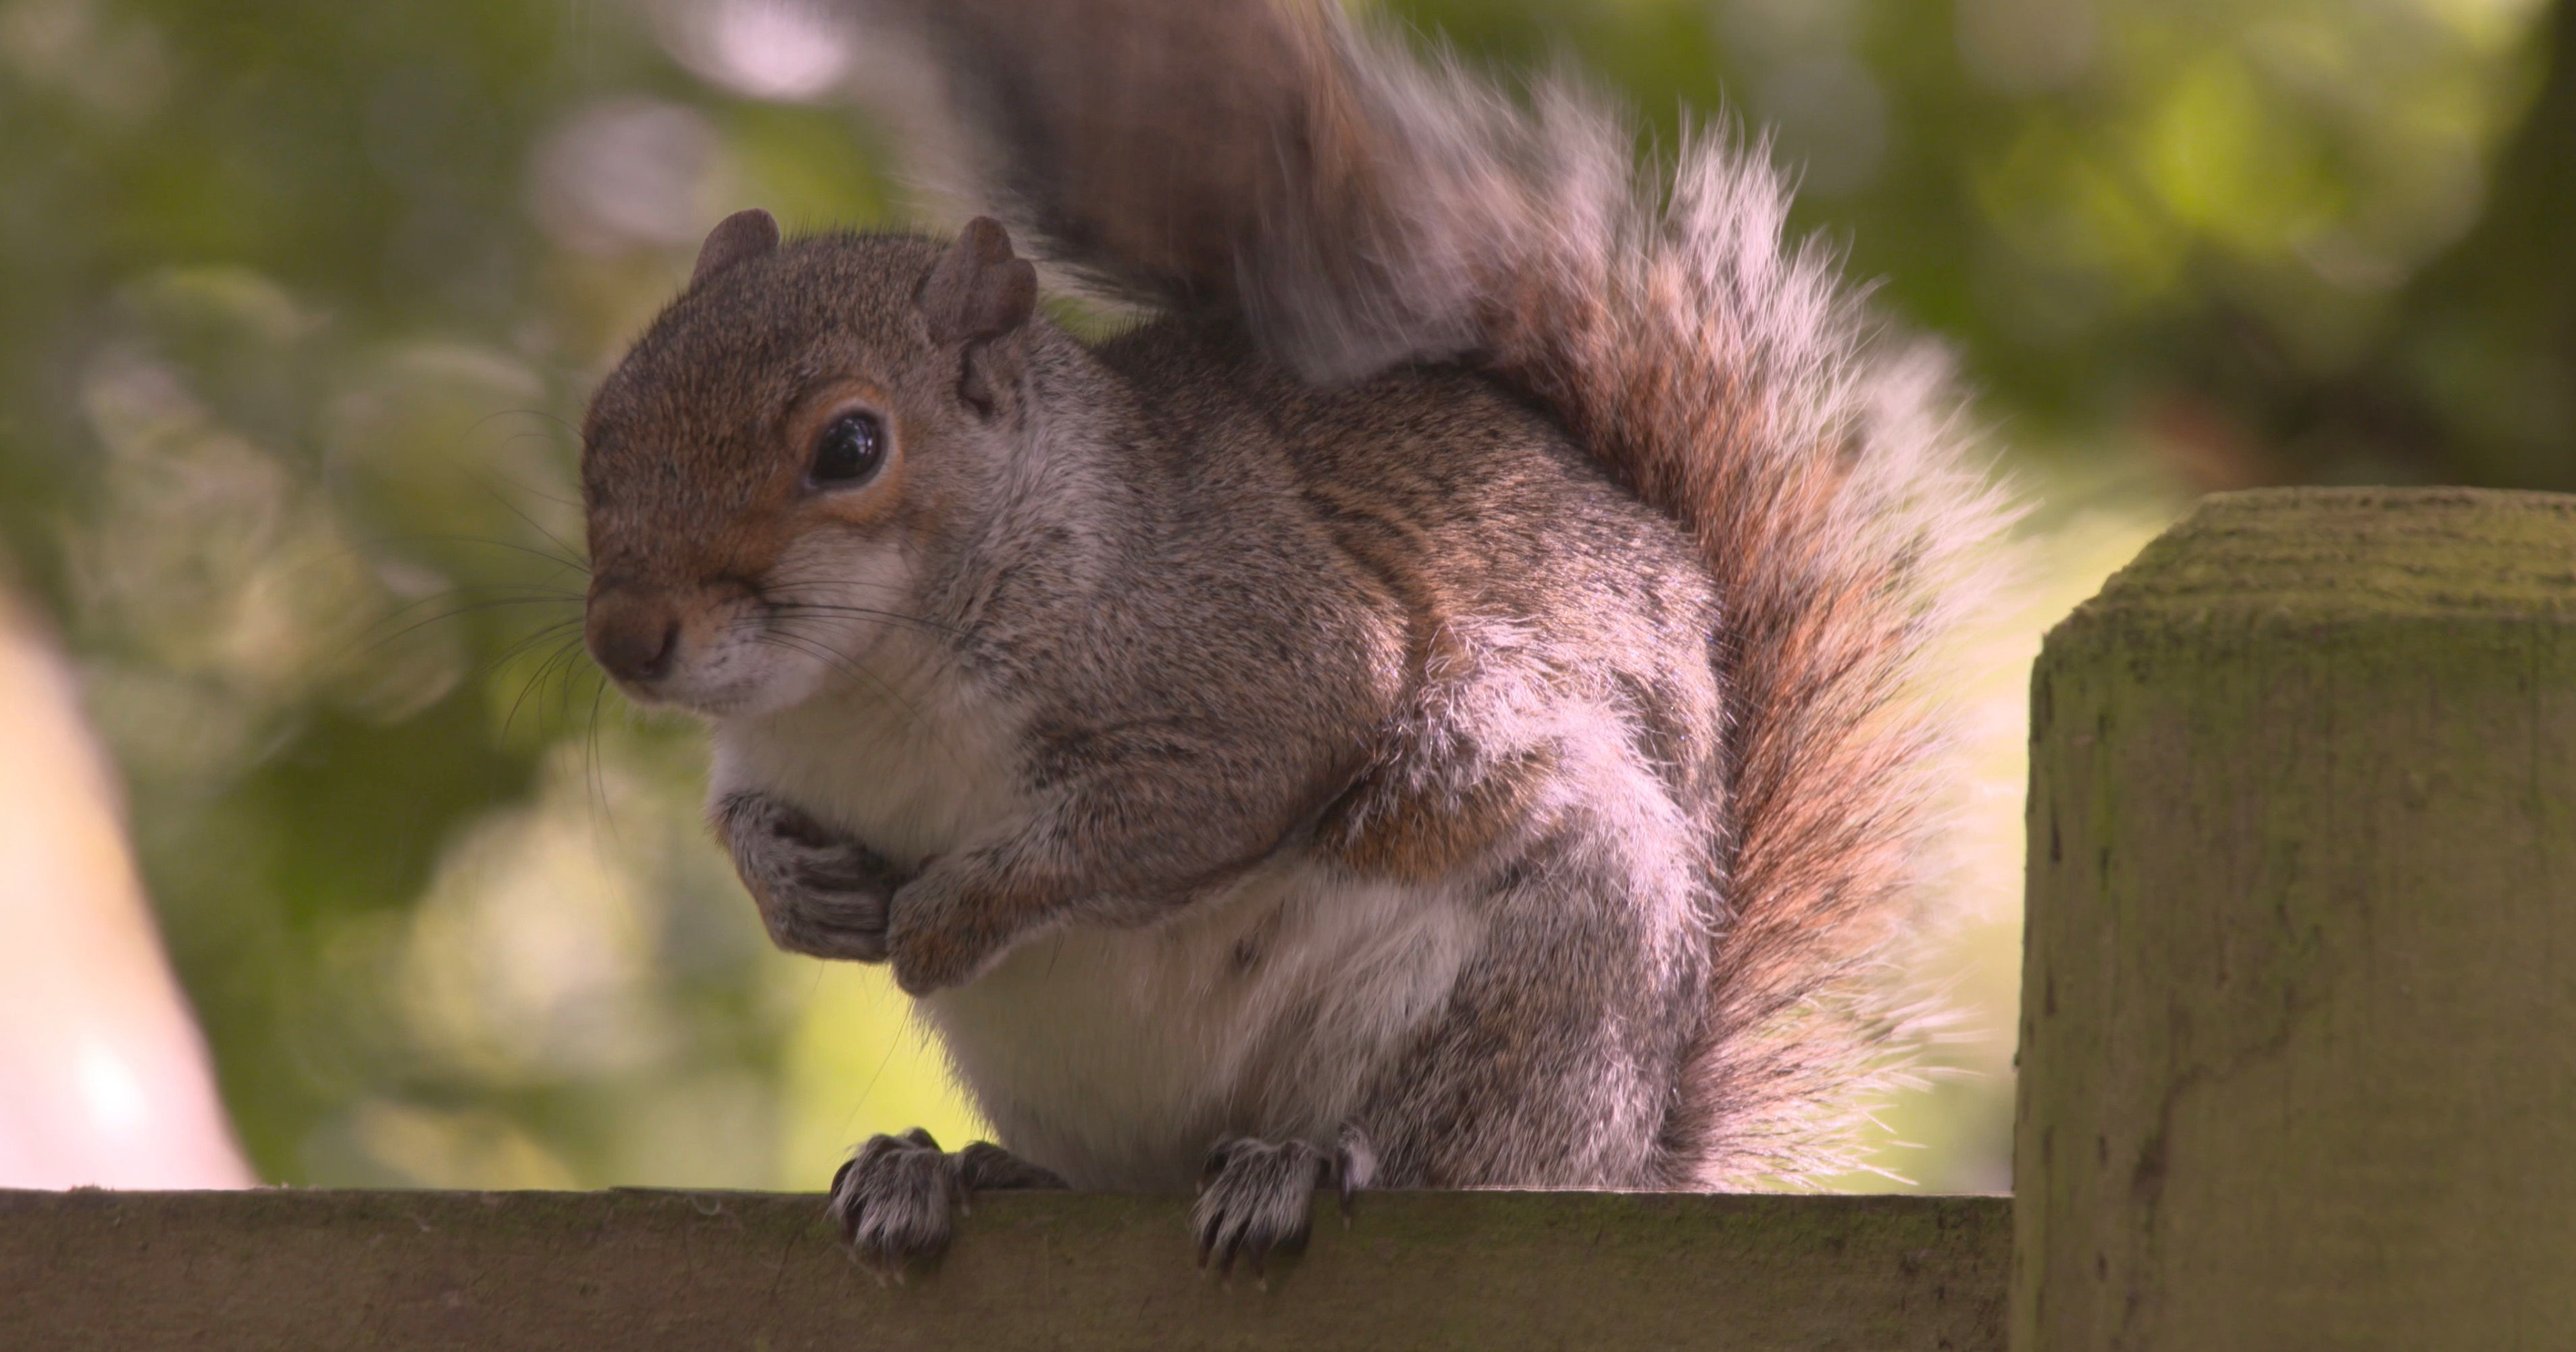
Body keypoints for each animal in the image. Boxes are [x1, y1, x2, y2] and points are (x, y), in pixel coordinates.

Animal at [578, 0, 1998, 1273]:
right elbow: (738, 822)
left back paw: (1301, 1165)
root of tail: (1629, 1155)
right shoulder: (767, 750)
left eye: (851, 446)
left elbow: (1178, 804)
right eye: (604, 419)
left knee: (1445, 1148)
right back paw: (939, 1170)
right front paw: (790, 888)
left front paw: (937, 917)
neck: (857, 682)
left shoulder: (1245, 648)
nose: (625, 639)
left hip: (1542, 975)